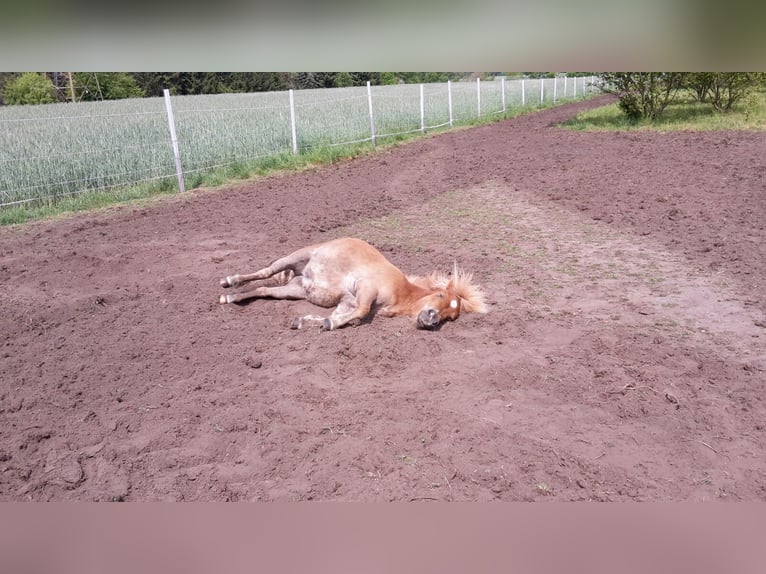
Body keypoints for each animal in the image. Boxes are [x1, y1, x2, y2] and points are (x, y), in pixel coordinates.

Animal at [219, 236, 488, 330]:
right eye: (441, 296)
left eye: (451, 317)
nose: (431, 320)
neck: (401, 293)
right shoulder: (366, 289)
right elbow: (363, 310)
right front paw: (327, 324)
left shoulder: (347, 301)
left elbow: (345, 315)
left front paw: (309, 322)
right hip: (294, 257)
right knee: (265, 271)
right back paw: (229, 282)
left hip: (295, 289)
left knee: (265, 289)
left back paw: (232, 297)